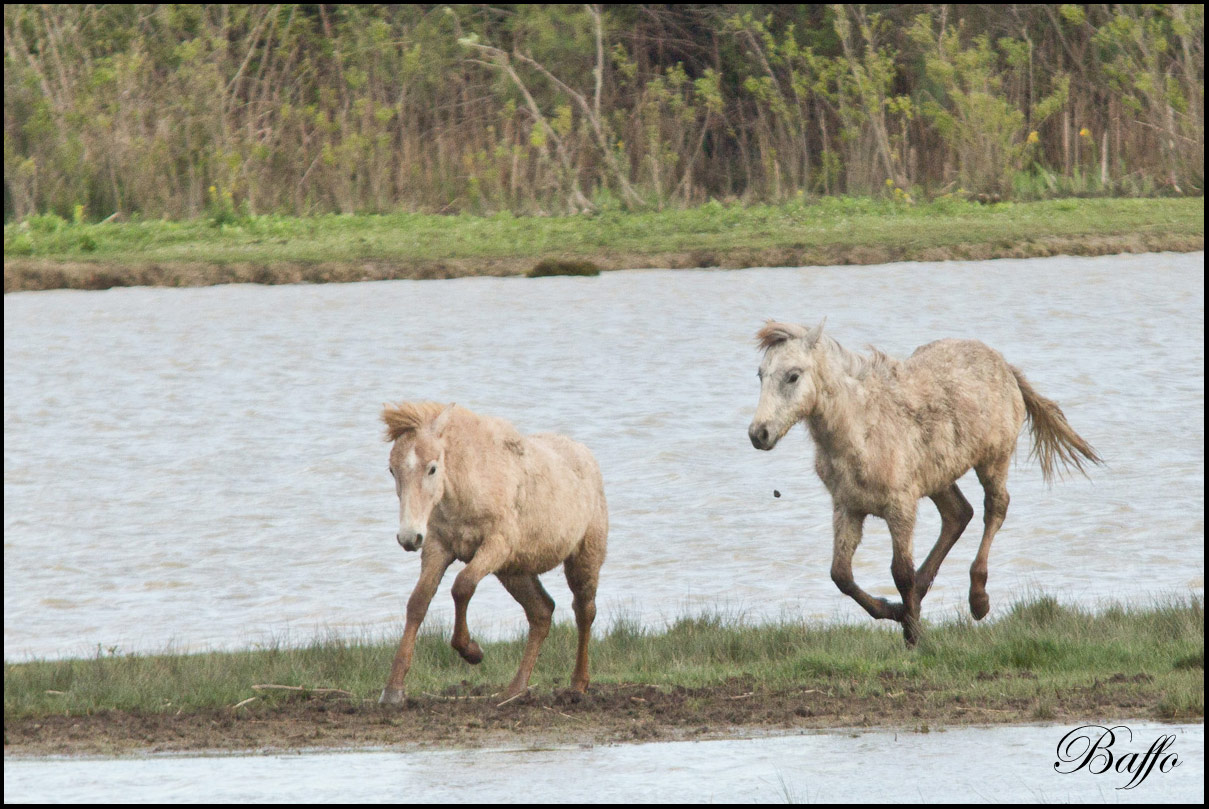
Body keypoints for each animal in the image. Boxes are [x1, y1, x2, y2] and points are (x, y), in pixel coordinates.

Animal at [377, 401, 609, 701]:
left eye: (432, 468)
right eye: (392, 470)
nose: (409, 538)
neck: (468, 485)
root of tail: (586, 456)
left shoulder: (496, 544)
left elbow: (462, 586)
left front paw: (472, 651)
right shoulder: (437, 547)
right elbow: (418, 602)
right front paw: (393, 689)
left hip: (583, 557)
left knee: (583, 611)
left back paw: (578, 684)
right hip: (514, 571)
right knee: (542, 612)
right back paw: (515, 689)